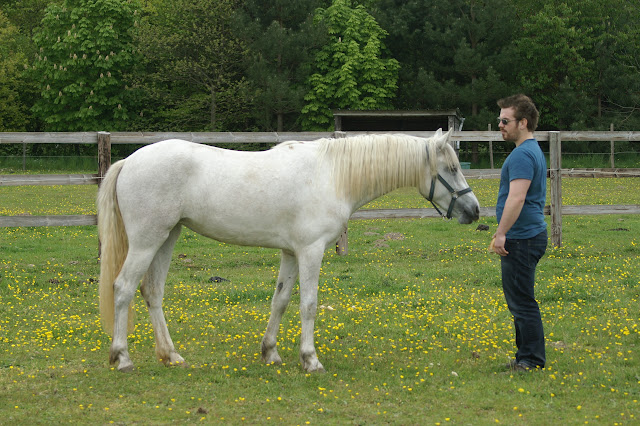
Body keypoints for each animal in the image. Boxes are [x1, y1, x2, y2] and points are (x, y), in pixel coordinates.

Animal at [99, 130, 480, 372]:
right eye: (451, 168)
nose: (474, 211)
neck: (333, 175)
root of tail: (128, 161)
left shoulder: (291, 252)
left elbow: (280, 300)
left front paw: (270, 352)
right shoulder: (311, 251)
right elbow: (308, 304)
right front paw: (310, 359)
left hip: (167, 237)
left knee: (153, 292)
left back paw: (171, 355)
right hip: (147, 240)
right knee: (123, 288)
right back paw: (122, 358)